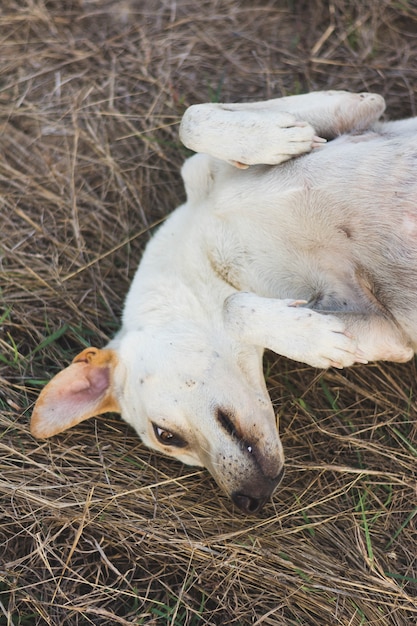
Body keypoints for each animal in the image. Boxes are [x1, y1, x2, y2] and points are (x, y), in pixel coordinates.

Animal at [30, 91, 416, 512]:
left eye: (165, 435)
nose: (248, 501)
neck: (207, 253)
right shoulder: (393, 332)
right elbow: (246, 309)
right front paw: (317, 339)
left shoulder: (357, 106)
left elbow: (192, 119)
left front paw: (278, 138)